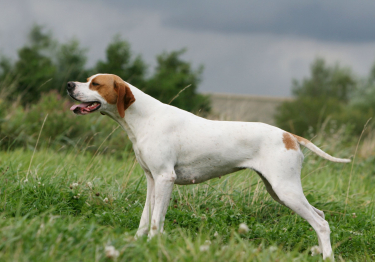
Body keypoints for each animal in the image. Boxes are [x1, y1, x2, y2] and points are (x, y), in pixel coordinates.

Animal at [66, 73, 352, 260]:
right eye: (87, 80)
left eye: (95, 83)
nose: (69, 84)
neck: (144, 118)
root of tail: (290, 135)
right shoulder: (152, 180)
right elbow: (146, 218)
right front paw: (137, 243)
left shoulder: (165, 179)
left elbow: (157, 221)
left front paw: (153, 246)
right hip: (279, 190)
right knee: (319, 216)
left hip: (286, 190)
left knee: (321, 223)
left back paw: (327, 257)